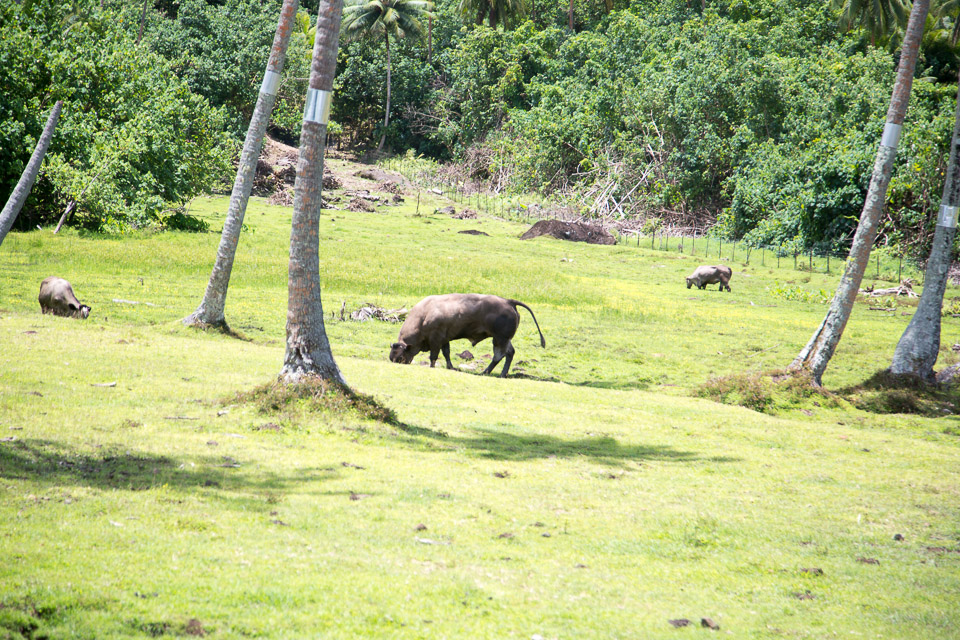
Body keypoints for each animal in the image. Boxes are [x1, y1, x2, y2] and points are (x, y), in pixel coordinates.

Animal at [386, 294, 544, 378]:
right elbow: (447, 353)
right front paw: (451, 367)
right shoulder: (445, 339)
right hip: (503, 339)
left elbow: (434, 355)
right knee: (508, 353)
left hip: (499, 339)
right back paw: (493, 373)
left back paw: (491, 373)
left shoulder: (436, 340)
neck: (423, 316)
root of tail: (508, 301)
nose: (399, 362)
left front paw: (432, 366)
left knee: (500, 354)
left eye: (400, 356)